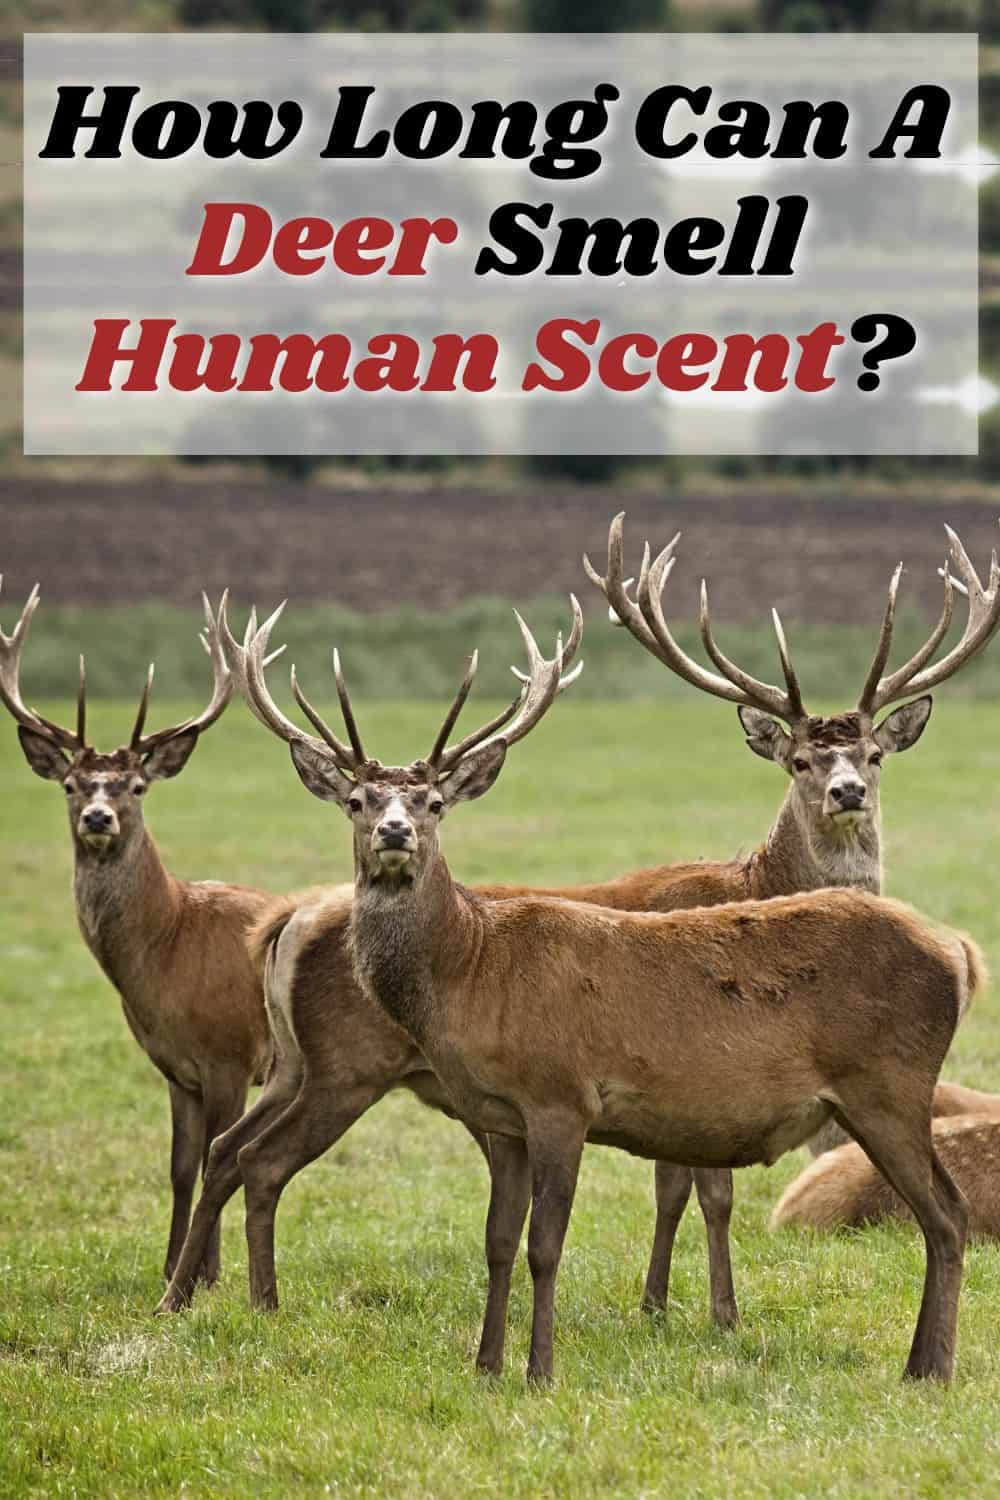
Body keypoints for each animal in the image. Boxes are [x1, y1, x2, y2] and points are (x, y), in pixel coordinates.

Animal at [0, 579, 282, 1288]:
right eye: (71, 785)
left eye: (135, 785)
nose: (99, 817)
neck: (169, 948)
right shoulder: (174, 1068)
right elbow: (179, 1169)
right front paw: (171, 1265)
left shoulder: (230, 1053)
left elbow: (215, 1161)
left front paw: (206, 1275)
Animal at [156, 513, 1000, 1343]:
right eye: (798, 760)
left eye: (874, 755)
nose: (847, 791)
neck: (758, 879)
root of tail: (288, 918)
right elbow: (698, 1195)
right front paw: (697, 1311)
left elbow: (681, 1193)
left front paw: (674, 1308)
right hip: (345, 1065)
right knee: (256, 1160)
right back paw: (240, 1300)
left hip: (297, 1063)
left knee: (230, 1151)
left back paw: (189, 1293)